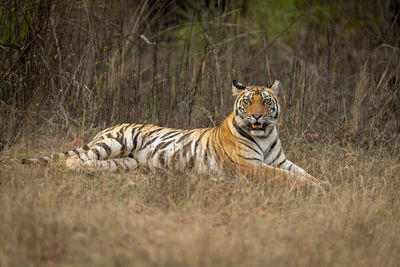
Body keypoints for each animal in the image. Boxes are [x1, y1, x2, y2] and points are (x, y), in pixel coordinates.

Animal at [21, 79, 322, 188]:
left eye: (267, 102)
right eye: (248, 101)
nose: (258, 116)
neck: (264, 135)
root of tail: (105, 128)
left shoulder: (281, 161)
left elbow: (305, 172)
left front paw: (325, 185)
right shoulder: (250, 165)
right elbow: (286, 177)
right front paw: (315, 188)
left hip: (125, 161)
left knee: (97, 164)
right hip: (117, 142)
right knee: (72, 160)